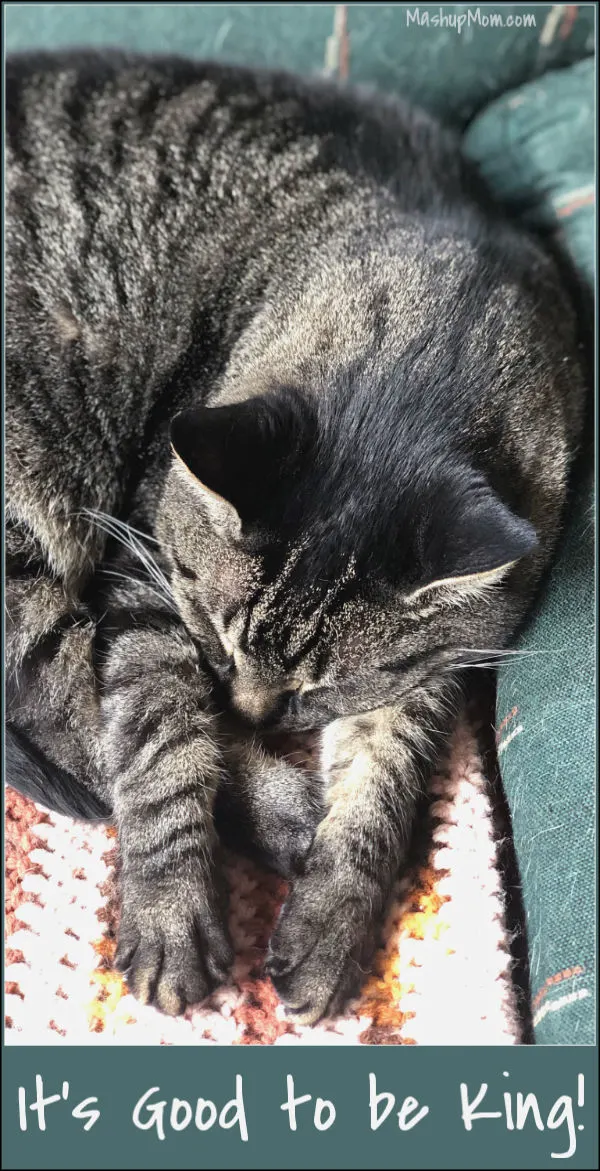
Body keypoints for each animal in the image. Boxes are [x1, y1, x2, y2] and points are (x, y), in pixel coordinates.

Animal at [4, 52, 585, 1025]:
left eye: (323, 685)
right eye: (214, 630)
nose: (247, 710)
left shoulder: (438, 662)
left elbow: (382, 778)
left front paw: (331, 920)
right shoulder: (147, 565)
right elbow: (158, 735)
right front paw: (171, 909)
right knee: (60, 696)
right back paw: (280, 812)